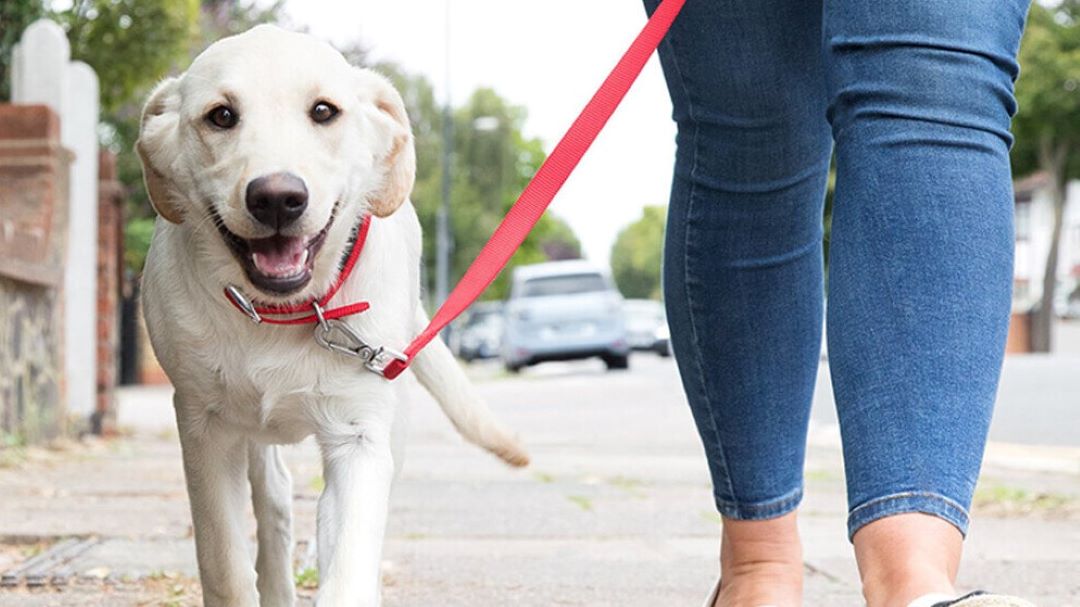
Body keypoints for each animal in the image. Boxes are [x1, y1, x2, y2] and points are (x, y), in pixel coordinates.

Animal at [139, 24, 527, 604]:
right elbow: (224, 566)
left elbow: (347, 569)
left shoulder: (360, 434)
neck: (284, 313)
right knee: (274, 499)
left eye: (324, 111)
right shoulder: (203, 426)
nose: (277, 198)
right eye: (221, 115)